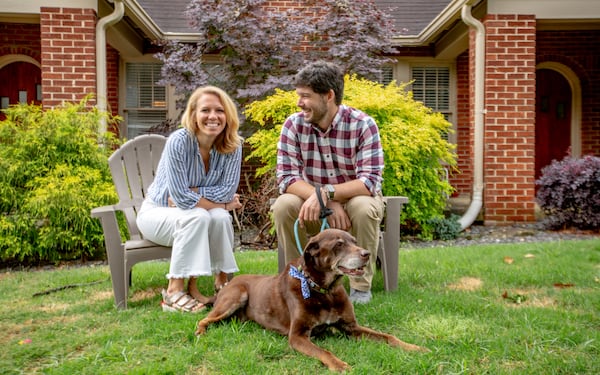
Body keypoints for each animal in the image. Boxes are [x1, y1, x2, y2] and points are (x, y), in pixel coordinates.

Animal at [195, 229, 428, 374]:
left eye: (354, 241)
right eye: (339, 244)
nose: (367, 253)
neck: (325, 292)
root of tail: (227, 285)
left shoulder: (351, 327)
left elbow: (388, 337)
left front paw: (415, 348)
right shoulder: (297, 336)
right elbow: (324, 351)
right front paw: (339, 365)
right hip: (235, 296)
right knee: (204, 319)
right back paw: (201, 332)